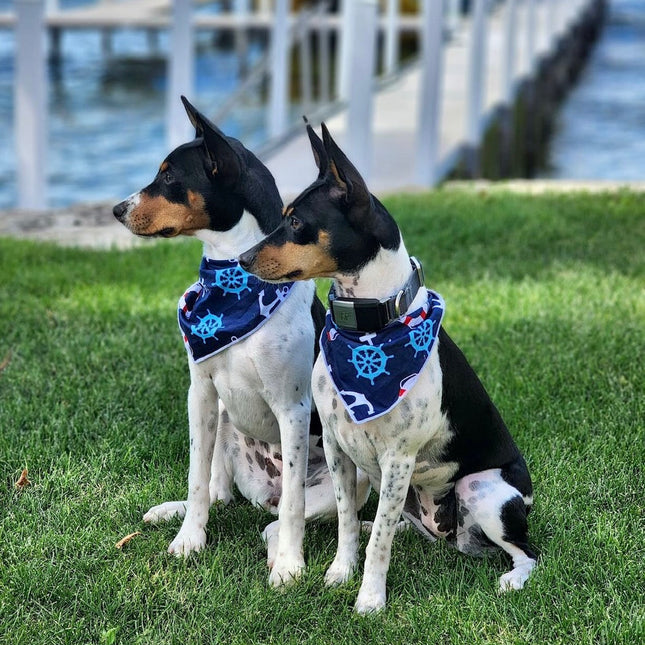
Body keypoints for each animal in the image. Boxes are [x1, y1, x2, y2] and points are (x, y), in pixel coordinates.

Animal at [113, 99, 370, 584]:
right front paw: (189, 540)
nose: (118, 209)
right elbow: (197, 479)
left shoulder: (293, 408)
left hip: (344, 474)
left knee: (285, 510)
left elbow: (293, 508)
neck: (235, 287)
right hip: (223, 419)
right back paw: (174, 510)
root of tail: (262, 491)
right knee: (219, 493)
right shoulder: (200, 393)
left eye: (170, 177)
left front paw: (289, 565)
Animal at [239, 123, 536, 612]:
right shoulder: (340, 450)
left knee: (527, 551)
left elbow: (379, 543)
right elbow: (347, 519)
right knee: (398, 527)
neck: (367, 329)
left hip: (484, 493)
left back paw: (513, 578)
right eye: (283, 215)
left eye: (297, 222)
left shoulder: (398, 459)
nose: (243, 260)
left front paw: (370, 599)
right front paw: (341, 571)